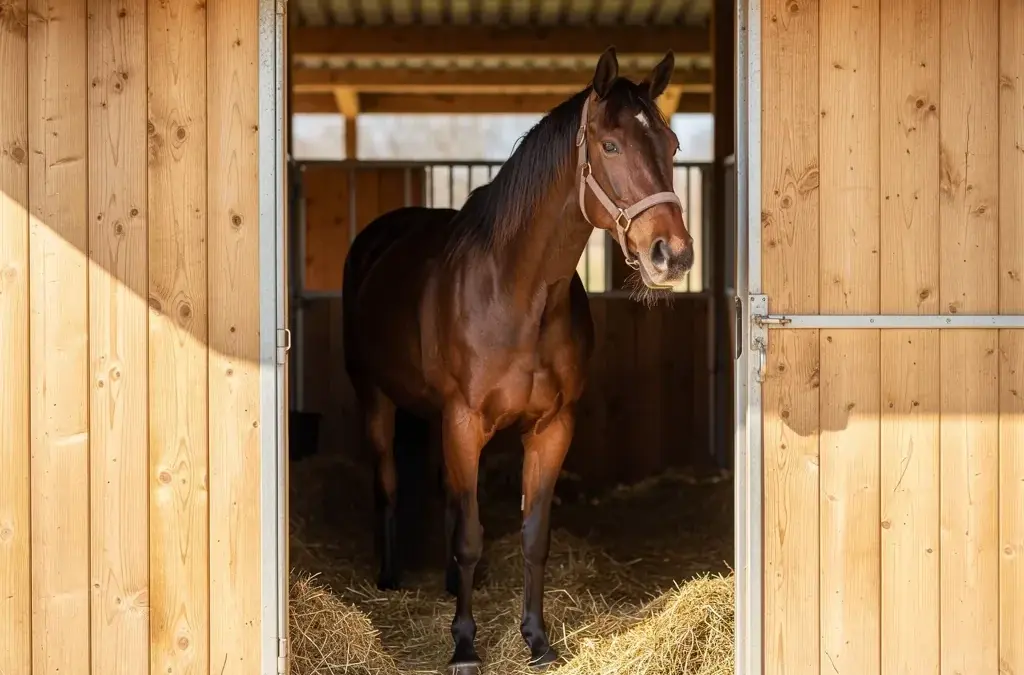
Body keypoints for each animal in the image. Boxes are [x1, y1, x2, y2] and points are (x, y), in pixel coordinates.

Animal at [341, 46, 693, 673]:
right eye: (610, 146)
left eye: (673, 145)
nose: (671, 256)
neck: (518, 291)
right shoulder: (464, 422)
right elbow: (470, 536)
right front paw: (463, 645)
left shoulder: (551, 427)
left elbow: (533, 535)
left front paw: (537, 640)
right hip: (375, 399)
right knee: (388, 482)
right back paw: (389, 576)